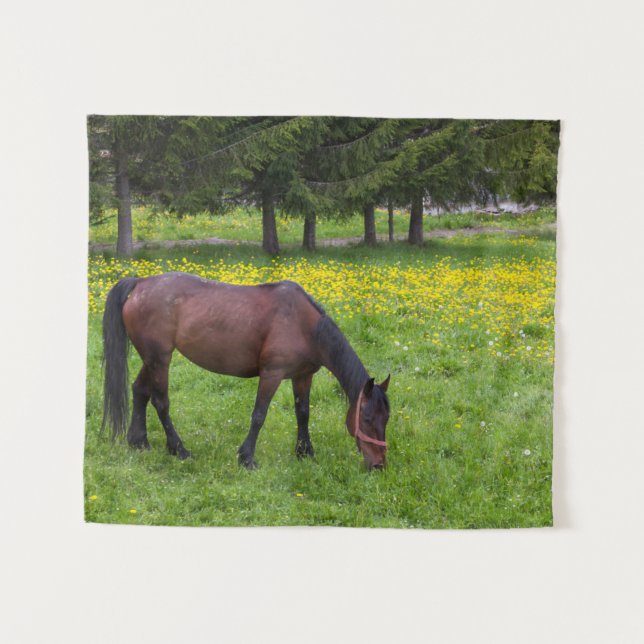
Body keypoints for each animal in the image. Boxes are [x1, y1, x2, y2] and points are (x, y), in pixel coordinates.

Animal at [101, 273, 391, 470]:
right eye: (366, 419)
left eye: (385, 419)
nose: (379, 465)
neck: (303, 324)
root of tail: (141, 283)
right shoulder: (272, 374)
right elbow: (259, 415)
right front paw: (247, 457)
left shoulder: (303, 375)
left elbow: (303, 413)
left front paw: (304, 452)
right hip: (160, 359)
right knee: (161, 402)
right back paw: (178, 449)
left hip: (152, 358)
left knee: (140, 391)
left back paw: (139, 441)